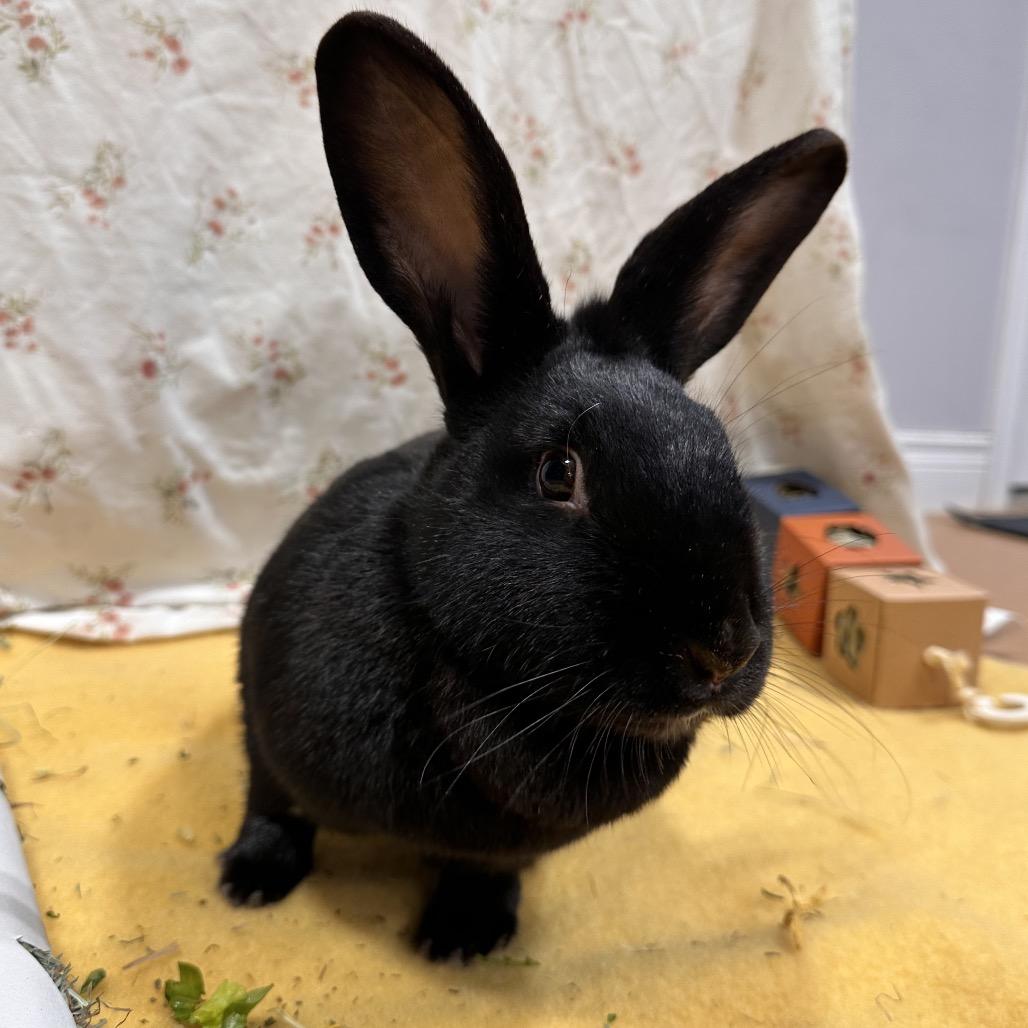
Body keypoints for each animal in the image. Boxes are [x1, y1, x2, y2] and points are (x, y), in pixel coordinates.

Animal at [218, 11, 847, 962]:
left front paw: (462, 936)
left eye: (720, 449)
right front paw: (249, 881)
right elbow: (271, 799)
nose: (722, 652)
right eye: (559, 472)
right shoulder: (267, 727)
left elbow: (487, 866)